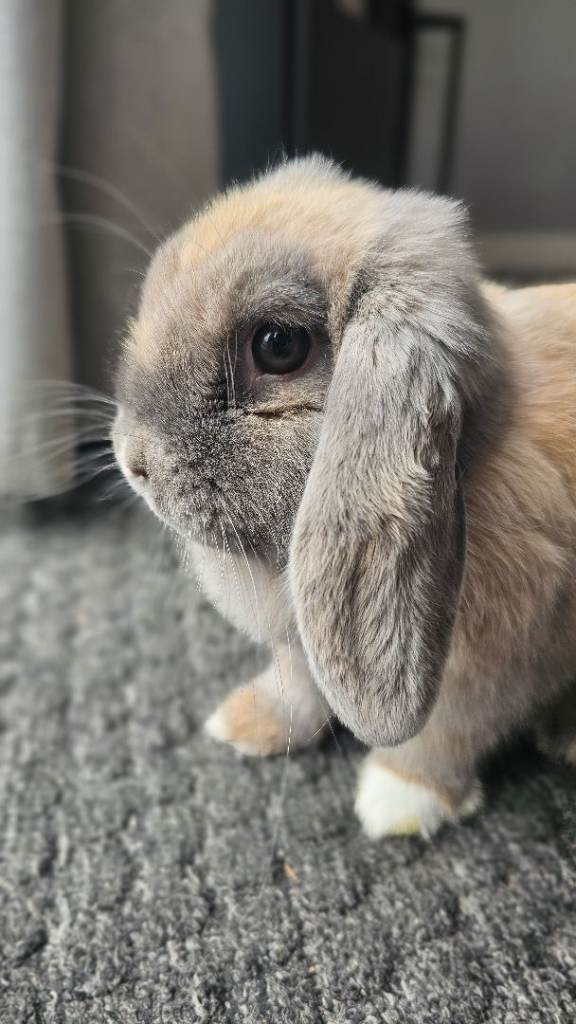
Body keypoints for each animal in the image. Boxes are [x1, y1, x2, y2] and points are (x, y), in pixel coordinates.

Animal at [112, 155, 576, 839]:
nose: (133, 460)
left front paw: (396, 802)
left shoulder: (491, 670)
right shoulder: (303, 645)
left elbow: (449, 733)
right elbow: (298, 685)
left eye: (278, 346)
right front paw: (248, 723)